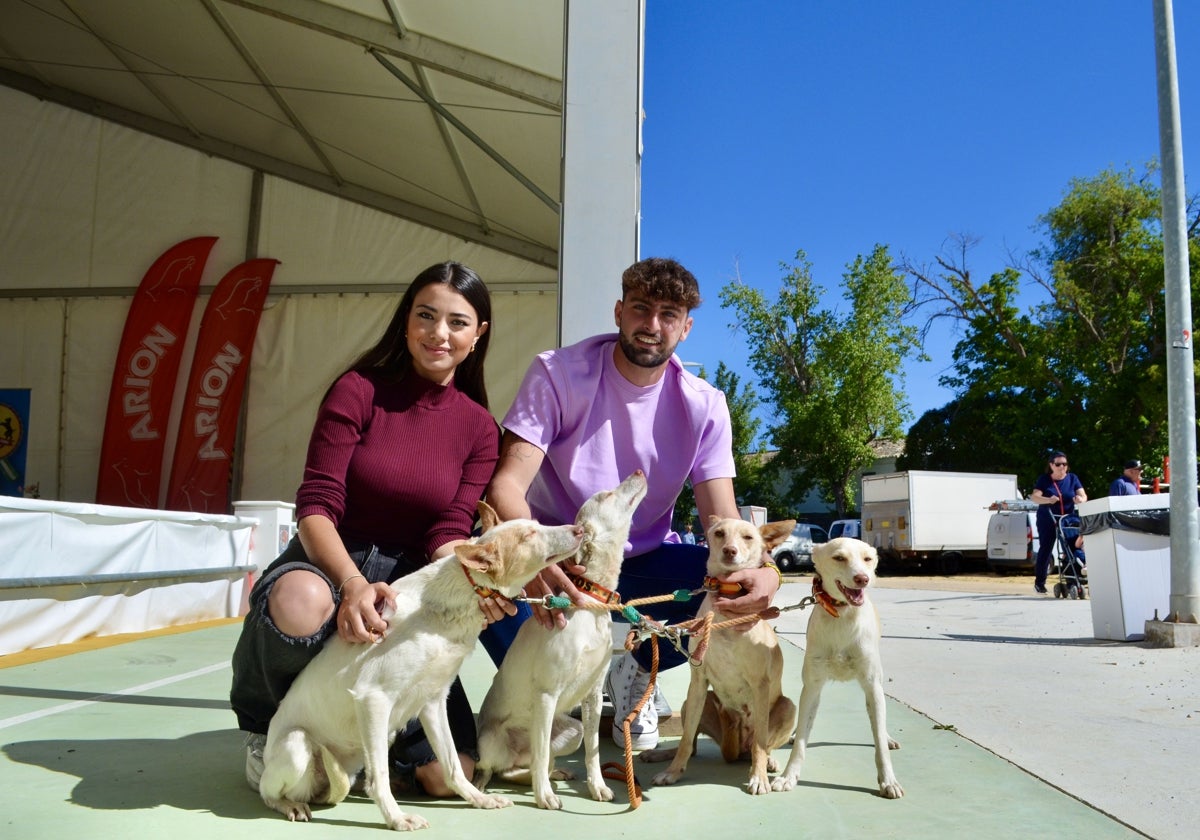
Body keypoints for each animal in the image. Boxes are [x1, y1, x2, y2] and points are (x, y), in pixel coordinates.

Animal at [258, 501, 585, 830]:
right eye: (529, 535)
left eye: (536, 524)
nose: (580, 529)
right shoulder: (372, 698)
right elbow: (379, 779)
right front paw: (397, 818)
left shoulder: (432, 701)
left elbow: (452, 765)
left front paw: (480, 799)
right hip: (298, 744)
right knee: (269, 793)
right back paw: (290, 804)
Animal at [475, 472, 652, 806]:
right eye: (607, 495)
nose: (638, 472)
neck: (589, 604)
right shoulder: (546, 693)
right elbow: (542, 754)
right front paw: (544, 796)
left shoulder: (593, 696)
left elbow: (593, 752)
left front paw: (597, 787)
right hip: (494, 741)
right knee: (500, 768)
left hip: (573, 731)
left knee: (529, 765)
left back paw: (555, 773)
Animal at [648, 516, 796, 796]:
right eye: (719, 533)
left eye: (748, 537)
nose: (729, 550)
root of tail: (738, 750)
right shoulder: (698, 680)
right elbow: (686, 740)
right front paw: (673, 772)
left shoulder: (761, 685)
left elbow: (761, 742)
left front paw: (758, 777)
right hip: (693, 702)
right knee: (693, 744)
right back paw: (661, 755)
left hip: (787, 707)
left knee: (763, 745)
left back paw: (768, 762)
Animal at [772, 537, 902, 801]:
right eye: (839, 558)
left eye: (867, 559)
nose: (863, 578)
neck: (842, 614)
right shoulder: (811, 688)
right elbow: (801, 741)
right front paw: (788, 777)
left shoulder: (872, 686)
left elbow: (879, 742)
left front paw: (888, 780)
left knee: (878, 721)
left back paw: (887, 737)